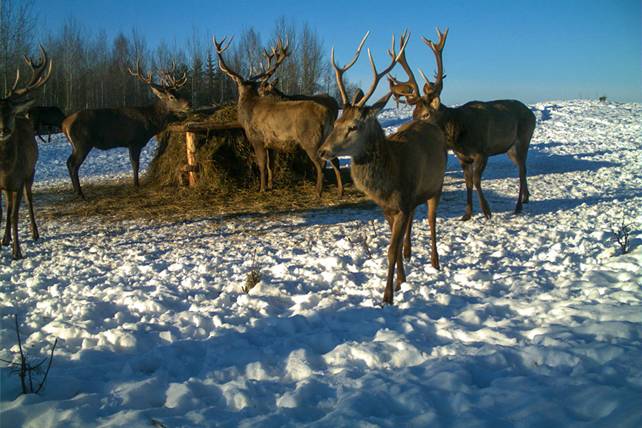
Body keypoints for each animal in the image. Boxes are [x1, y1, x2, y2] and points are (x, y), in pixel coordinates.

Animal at [63, 61, 191, 198]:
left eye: (179, 93)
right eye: (171, 97)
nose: (188, 104)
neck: (151, 123)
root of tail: (64, 124)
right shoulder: (134, 141)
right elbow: (135, 164)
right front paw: (136, 184)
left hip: (75, 145)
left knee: (68, 162)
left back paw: (76, 191)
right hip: (82, 143)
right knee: (73, 164)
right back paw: (80, 193)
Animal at [212, 36, 342, 197]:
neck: (248, 110)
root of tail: (329, 115)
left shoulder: (257, 139)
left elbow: (261, 165)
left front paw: (261, 189)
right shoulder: (271, 143)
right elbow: (270, 165)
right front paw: (270, 185)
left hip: (311, 138)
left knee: (320, 163)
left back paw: (318, 192)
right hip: (326, 137)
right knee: (335, 160)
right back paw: (340, 191)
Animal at [316, 31, 444, 304]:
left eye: (354, 126)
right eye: (337, 121)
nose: (322, 151)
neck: (389, 179)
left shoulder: (403, 202)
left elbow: (390, 251)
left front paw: (387, 296)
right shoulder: (389, 207)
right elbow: (393, 247)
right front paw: (400, 281)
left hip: (436, 186)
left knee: (431, 221)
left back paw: (435, 262)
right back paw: (410, 254)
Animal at [390, 28, 536, 219]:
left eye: (426, 114)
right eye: (413, 114)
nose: (412, 129)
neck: (458, 137)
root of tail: (531, 114)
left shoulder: (482, 152)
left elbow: (476, 180)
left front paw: (486, 211)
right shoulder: (463, 157)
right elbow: (468, 182)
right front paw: (467, 214)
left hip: (523, 139)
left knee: (521, 170)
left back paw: (518, 206)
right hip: (510, 148)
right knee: (523, 168)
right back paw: (526, 198)